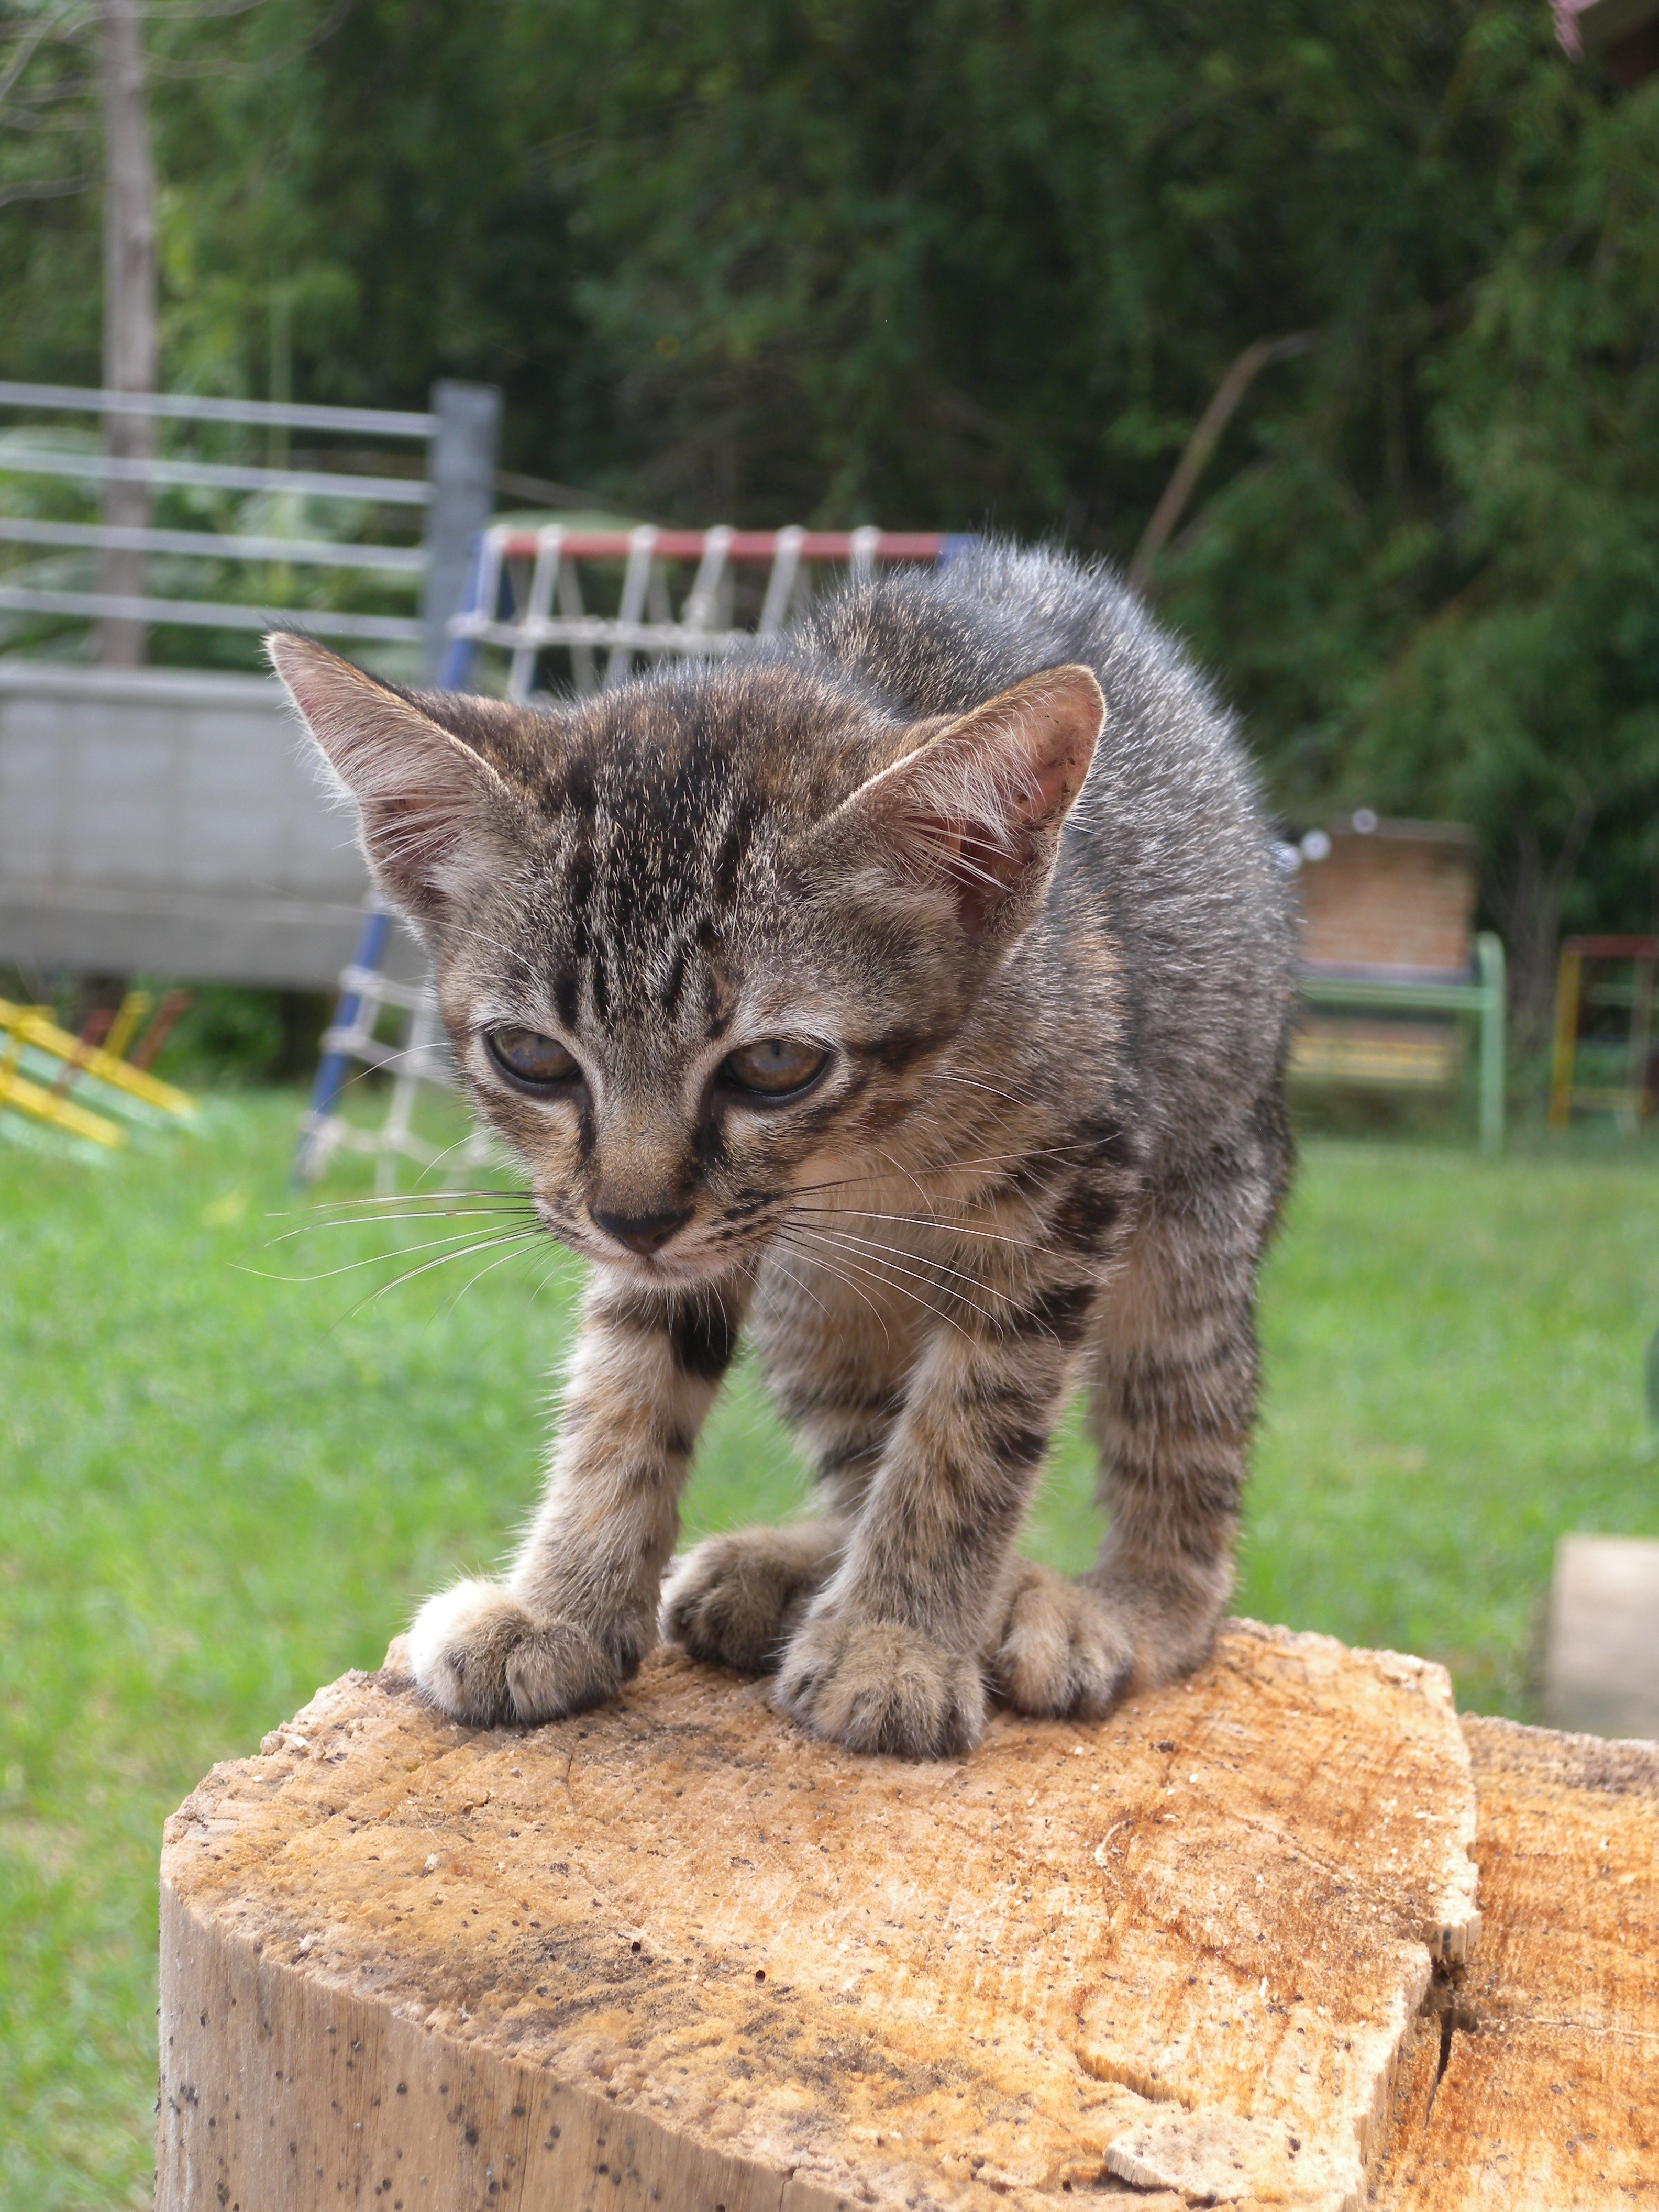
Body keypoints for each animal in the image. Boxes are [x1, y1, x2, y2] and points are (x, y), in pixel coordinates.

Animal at [270, 548, 1300, 1761]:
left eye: (773, 1065)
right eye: (531, 1056)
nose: (633, 1219)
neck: (880, 1143)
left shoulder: (1069, 1188)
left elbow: (968, 1431)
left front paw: (896, 1640)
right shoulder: (679, 1240)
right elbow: (629, 1386)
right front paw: (561, 1608)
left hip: (1196, 1217)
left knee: (1185, 1450)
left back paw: (1120, 1605)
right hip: (820, 1306)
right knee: (859, 1442)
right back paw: (800, 1569)